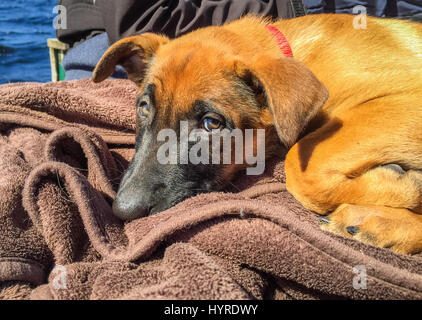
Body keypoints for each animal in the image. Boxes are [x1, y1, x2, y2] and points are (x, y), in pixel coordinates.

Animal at [92, 13, 422, 255]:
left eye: (211, 123)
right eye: (144, 107)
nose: (123, 211)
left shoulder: (407, 102)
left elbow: (298, 165)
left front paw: (408, 187)